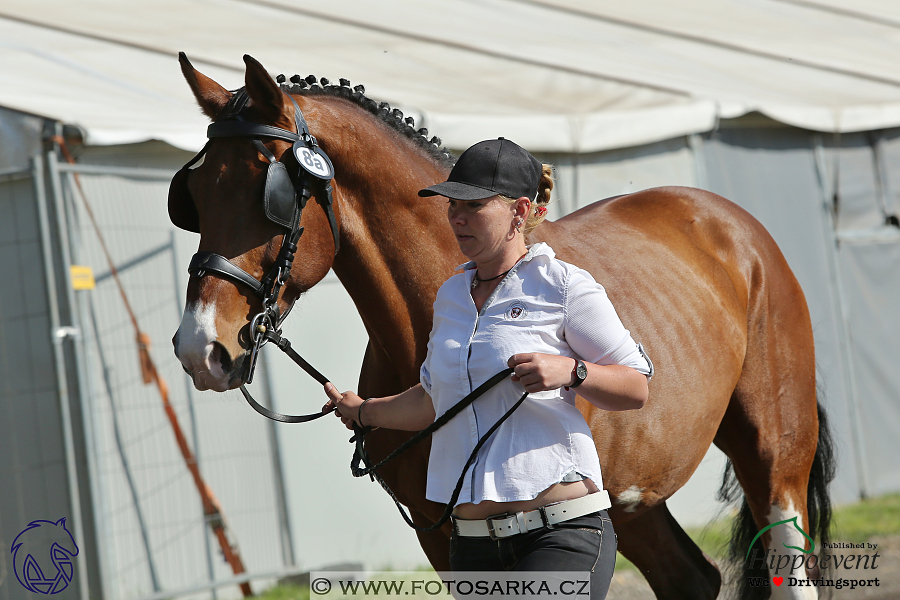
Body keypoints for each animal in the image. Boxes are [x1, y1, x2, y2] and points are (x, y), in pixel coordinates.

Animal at [171, 54, 836, 596]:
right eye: (193, 194)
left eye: (269, 191)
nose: (200, 348)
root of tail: (733, 226)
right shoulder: (442, 534)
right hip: (633, 500)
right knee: (689, 577)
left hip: (774, 457)